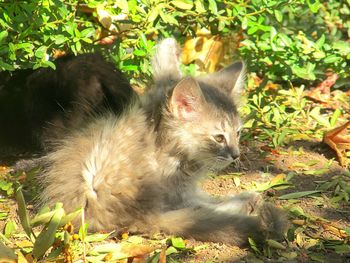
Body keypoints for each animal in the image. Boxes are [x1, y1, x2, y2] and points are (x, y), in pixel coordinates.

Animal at [39, 39, 288, 248]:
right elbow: (205, 204)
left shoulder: (184, 189)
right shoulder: (179, 190)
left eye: (238, 133)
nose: (235, 154)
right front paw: (247, 200)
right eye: (219, 137)